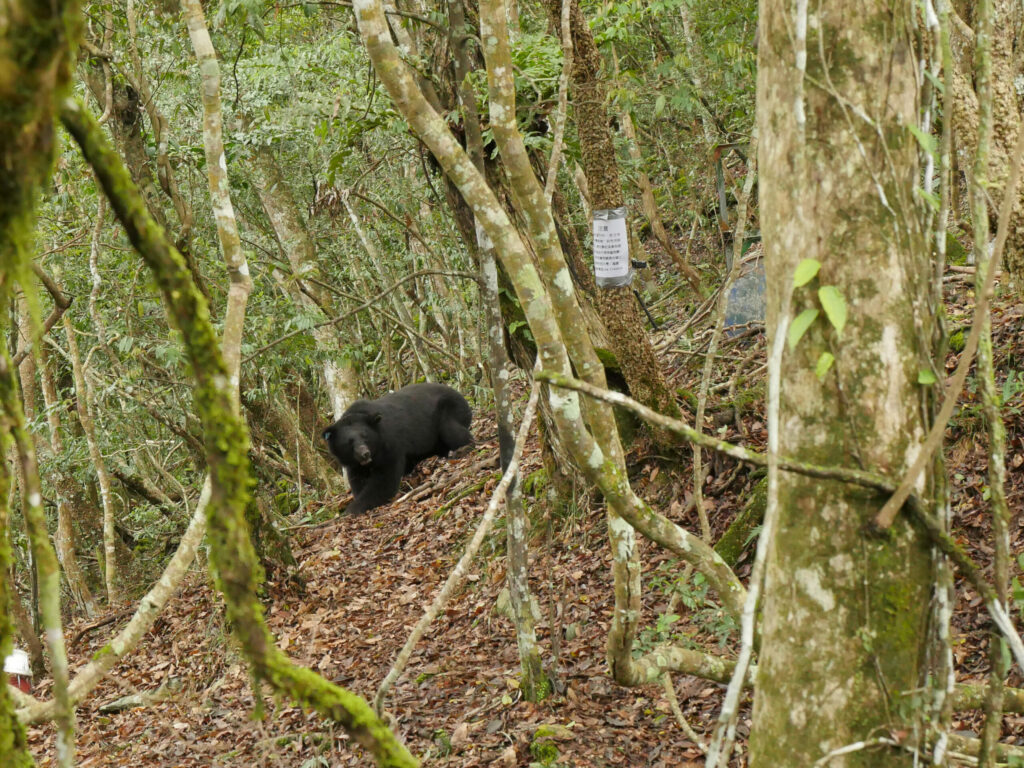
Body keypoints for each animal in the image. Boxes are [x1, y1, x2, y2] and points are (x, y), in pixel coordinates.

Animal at [321, 382, 473, 515]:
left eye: (365, 437)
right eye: (349, 442)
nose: (365, 454)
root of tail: (461, 396)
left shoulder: (390, 445)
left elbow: (384, 480)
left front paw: (352, 509)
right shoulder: (354, 463)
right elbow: (358, 480)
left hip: (449, 410)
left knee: (453, 430)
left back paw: (462, 449)